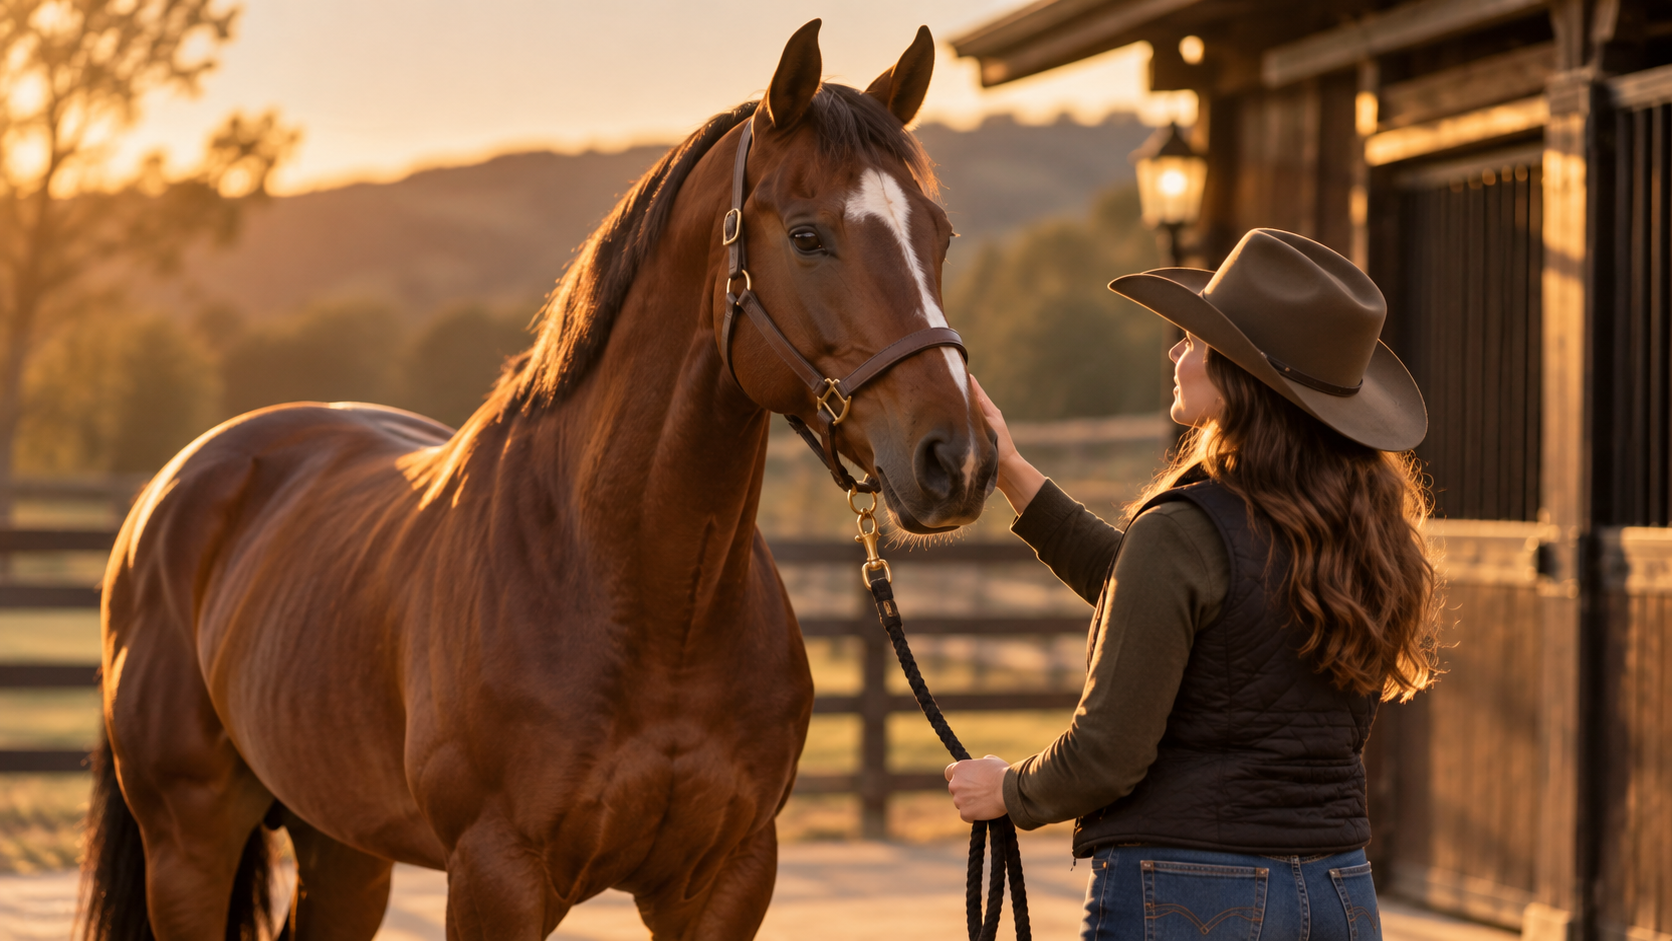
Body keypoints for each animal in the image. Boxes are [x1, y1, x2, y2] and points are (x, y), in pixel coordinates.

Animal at [79, 19, 996, 941]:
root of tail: (173, 489)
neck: (647, 603)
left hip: (342, 845)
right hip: (190, 840)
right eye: (807, 235)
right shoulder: (497, 876)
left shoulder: (728, 878)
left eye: (940, 234)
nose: (958, 458)